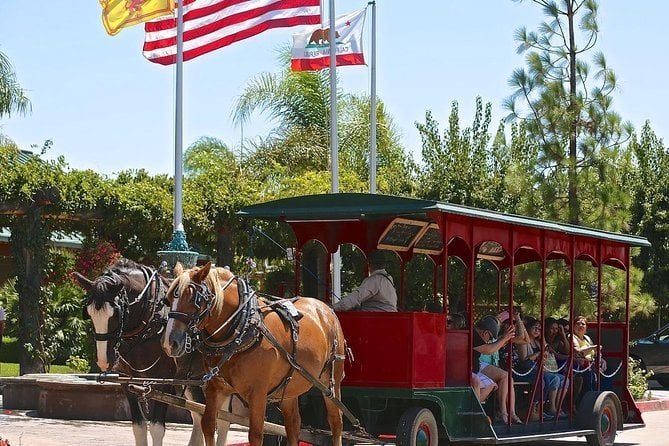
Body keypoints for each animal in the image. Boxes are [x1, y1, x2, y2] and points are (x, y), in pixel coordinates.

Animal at [73, 258, 224, 446]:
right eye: (89, 314)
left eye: (116, 314)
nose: (103, 361)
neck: (152, 320)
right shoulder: (127, 381)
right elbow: (139, 427)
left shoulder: (166, 380)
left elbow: (157, 428)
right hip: (192, 380)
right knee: (199, 415)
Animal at [159, 262, 342, 446]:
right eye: (168, 299)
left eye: (193, 300)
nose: (170, 343)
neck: (243, 328)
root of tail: (325, 308)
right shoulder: (216, 387)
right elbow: (208, 424)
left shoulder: (258, 392)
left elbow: (255, 434)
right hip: (290, 385)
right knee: (293, 424)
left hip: (330, 382)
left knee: (336, 421)